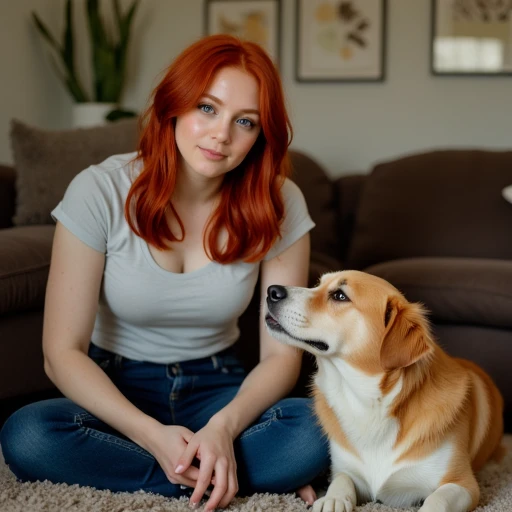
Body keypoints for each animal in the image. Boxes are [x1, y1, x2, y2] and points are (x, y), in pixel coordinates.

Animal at [266, 272, 506, 512]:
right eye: (317, 284)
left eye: (340, 296)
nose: (271, 291)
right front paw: (332, 499)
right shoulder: (349, 471)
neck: (369, 403)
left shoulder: (463, 484)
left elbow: (436, 500)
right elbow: (341, 480)